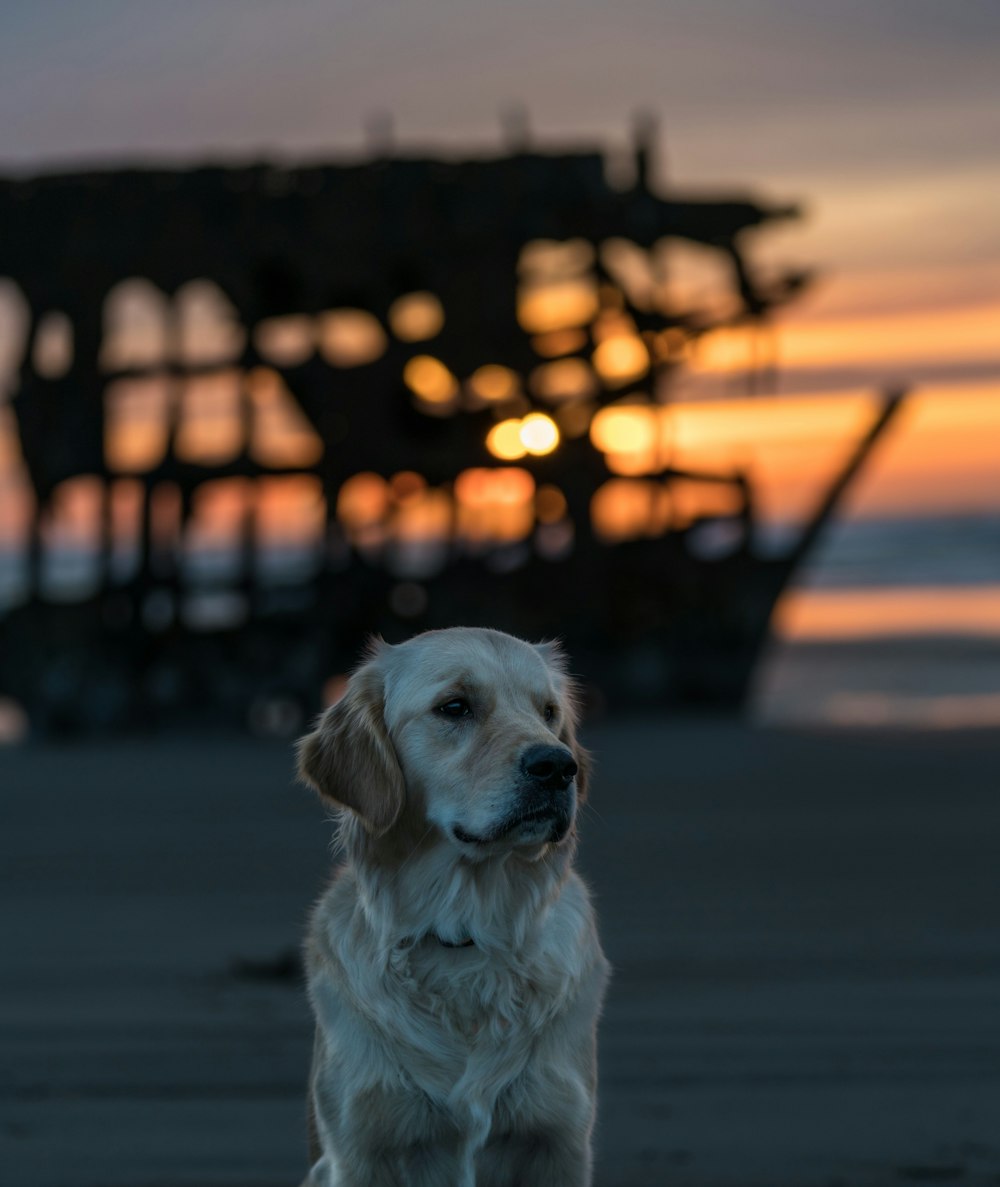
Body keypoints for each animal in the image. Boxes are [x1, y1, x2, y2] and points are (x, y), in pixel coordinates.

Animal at [294, 626, 608, 1182]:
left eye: (548, 712)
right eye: (455, 707)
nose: (558, 766)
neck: (466, 934)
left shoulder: (560, 1141)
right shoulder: (359, 1151)